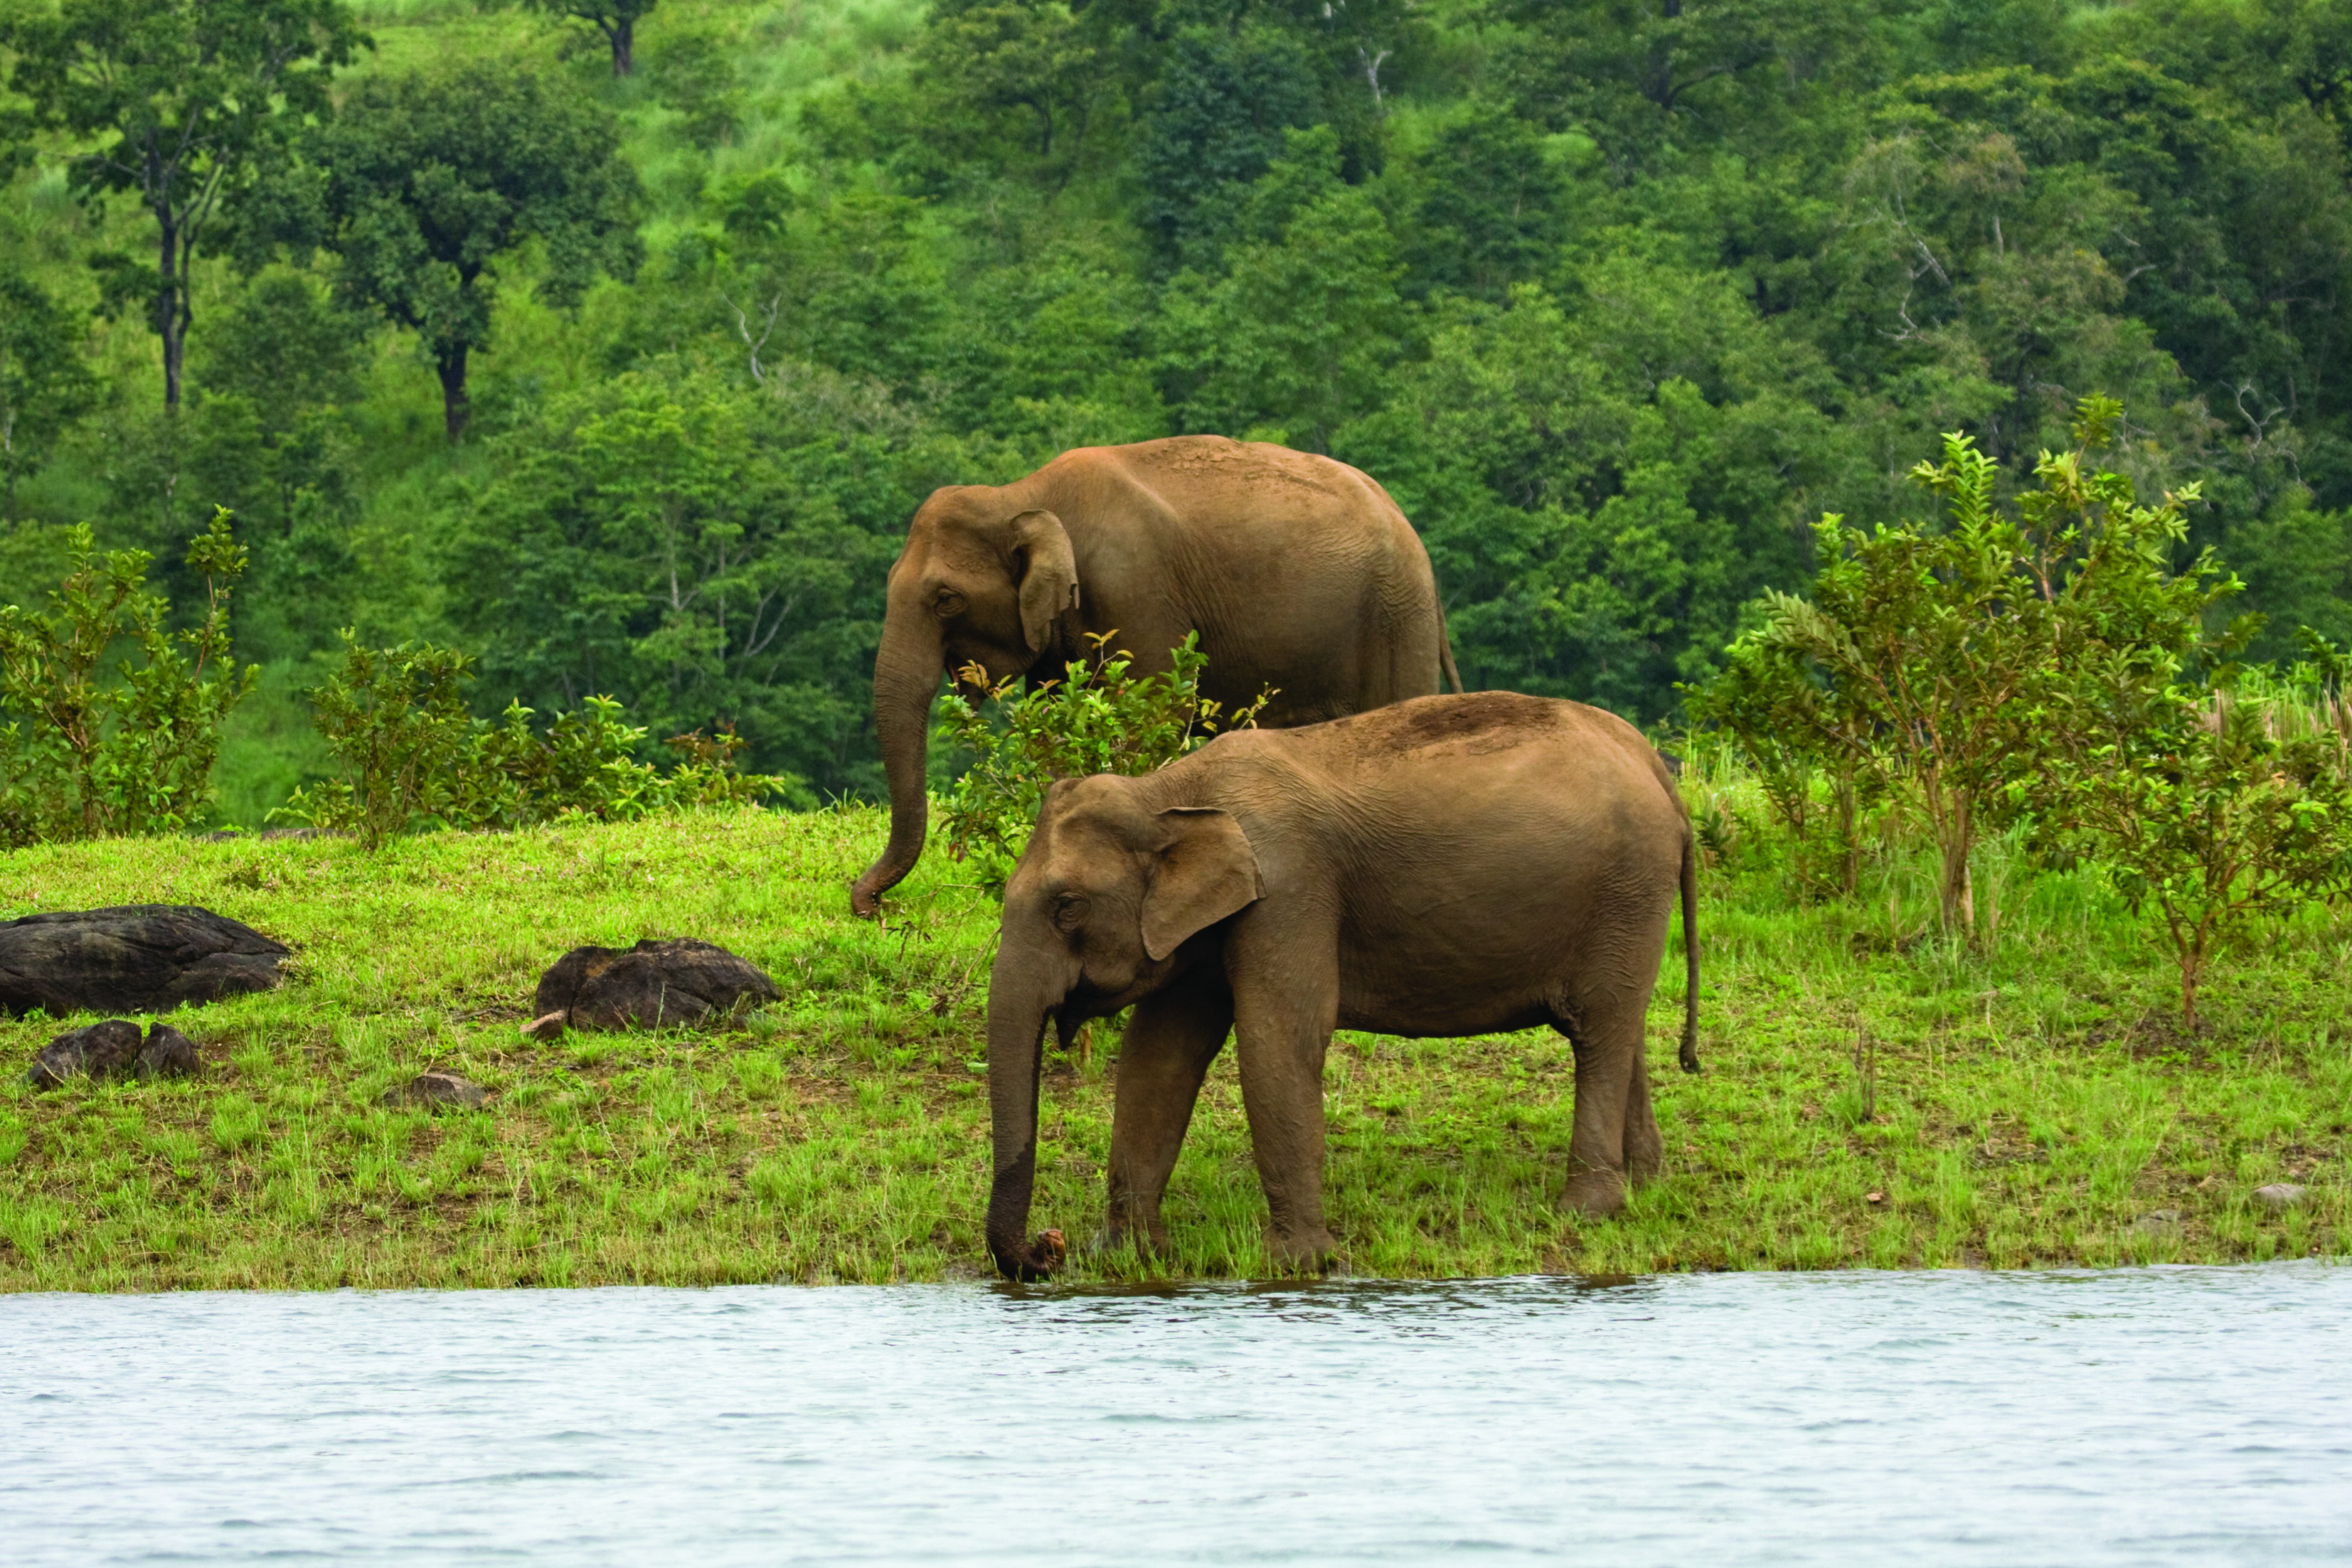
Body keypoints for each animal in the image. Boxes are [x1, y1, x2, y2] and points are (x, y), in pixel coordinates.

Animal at [851, 436, 1460, 917]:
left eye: (945, 598)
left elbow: (1158, 713)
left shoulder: (1134, 591)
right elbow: (1055, 723)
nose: (871, 904)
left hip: (1393, 619)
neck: (1022, 495)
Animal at [982, 690, 1701, 1283]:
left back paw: (1587, 1211)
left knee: (1599, 1029)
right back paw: (1645, 1186)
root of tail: (1656, 768)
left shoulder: (1290, 887)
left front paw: (1301, 1264)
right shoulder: (1207, 925)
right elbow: (1158, 1056)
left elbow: (1281, 1038)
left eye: (1066, 906)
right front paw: (1128, 1257)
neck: (1167, 788)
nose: (1049, 1247)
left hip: (1627, 887)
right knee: (1617, 1028)